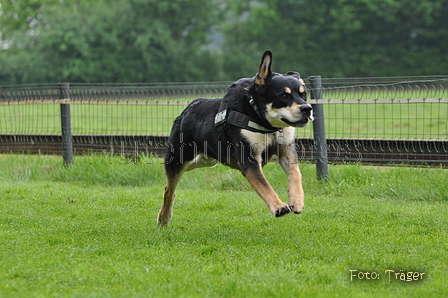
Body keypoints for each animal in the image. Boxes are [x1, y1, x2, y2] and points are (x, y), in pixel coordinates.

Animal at [159, 49, 314, 226]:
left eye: (303, 94)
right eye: (283, 95)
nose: (307, 108)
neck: (265, 123)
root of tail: (186, 110)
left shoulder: (286, 150)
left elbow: (295, 174)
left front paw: (297, 201)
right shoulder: (249, 159)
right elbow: (264, 185)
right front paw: (278, 206)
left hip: (208, 159)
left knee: (185, 170)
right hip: (178, 158)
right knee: (169, 188)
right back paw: (164, 217)